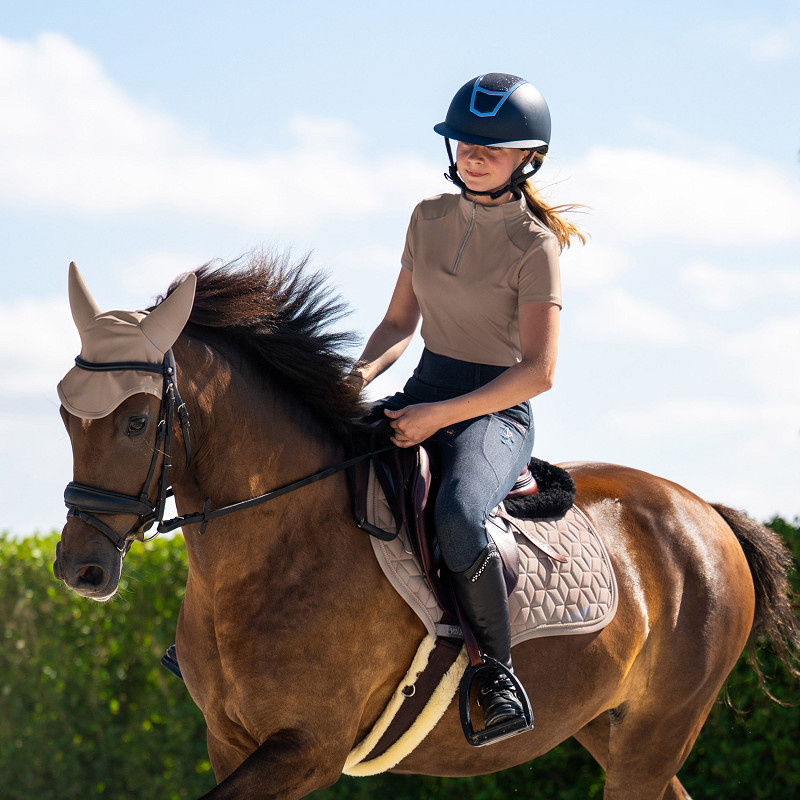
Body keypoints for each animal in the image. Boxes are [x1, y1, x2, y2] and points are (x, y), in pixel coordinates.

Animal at [53, 253, 800, 800]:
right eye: (65, 417)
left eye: (137, 421)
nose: (80, 569)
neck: (275, 549)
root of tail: (704, 511)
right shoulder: (231, 743)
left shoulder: (305, 748)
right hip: (606, 727)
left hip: (655, 734)